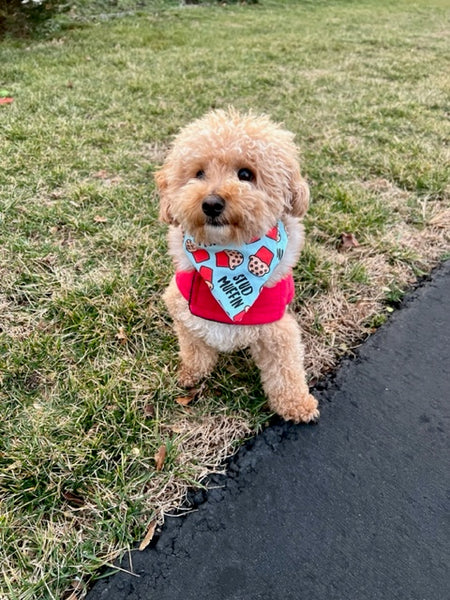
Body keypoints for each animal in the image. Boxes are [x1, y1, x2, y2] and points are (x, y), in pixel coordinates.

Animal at [156, 108, 318, 422]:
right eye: (199, 173)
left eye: (245, 174)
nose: (211, 203)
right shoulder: (182, 308)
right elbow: (194, 349)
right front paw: (192, 374)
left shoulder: (276, 327)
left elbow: (286, 371)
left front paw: (297, 404)